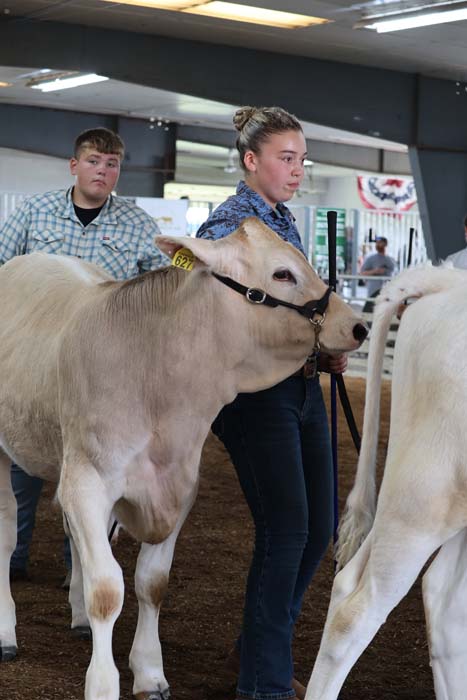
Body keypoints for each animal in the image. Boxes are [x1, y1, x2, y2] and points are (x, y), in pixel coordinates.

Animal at [0, 217, 367, 700]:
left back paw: (77, 615)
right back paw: (6, 633)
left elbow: (152, 583)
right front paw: (102, 682)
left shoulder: (180, 485)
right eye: (282, 273)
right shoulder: (88, 480)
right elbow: (108, 589)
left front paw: (150, 672)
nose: (358, 326)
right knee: (6, 533)